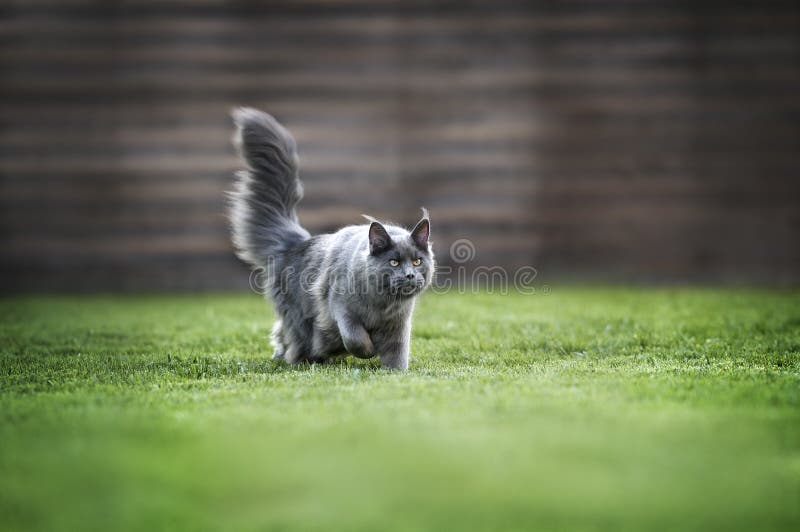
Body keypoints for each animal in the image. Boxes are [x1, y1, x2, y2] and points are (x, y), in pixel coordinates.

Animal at [228, 108, 434, 370]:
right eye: (394, 262)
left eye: (417, 261)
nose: (409, 275)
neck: (382, 305)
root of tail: (296, 242)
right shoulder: (340, 308)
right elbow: (356, 338)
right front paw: (368, 351)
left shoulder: (398, 325)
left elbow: (397, 357)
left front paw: (394, 372)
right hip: (300, 317)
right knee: (297, 339)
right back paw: (303, 359)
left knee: (281, 334)